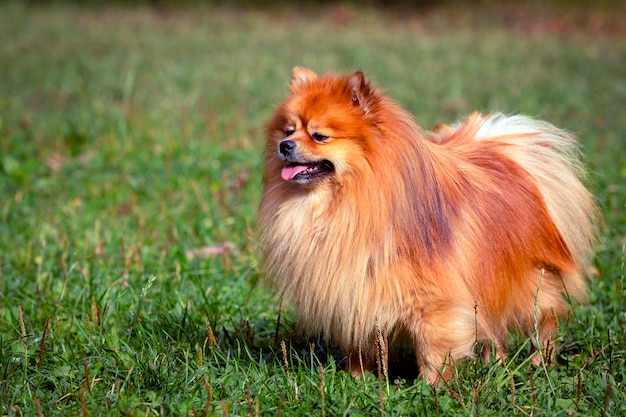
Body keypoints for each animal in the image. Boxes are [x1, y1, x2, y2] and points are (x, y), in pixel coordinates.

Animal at [258, 66, 596, 382]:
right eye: (289, 129)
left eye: (319, 136)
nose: (285, 145)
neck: (343, 204)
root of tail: (507, 158)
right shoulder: (353, 293)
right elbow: (360, 345)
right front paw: (357, 379)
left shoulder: (432, 302)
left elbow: (433, 348)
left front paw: (432, 387)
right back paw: (495, 364)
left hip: (527, 283)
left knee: (544, 321)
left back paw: (540, 363)